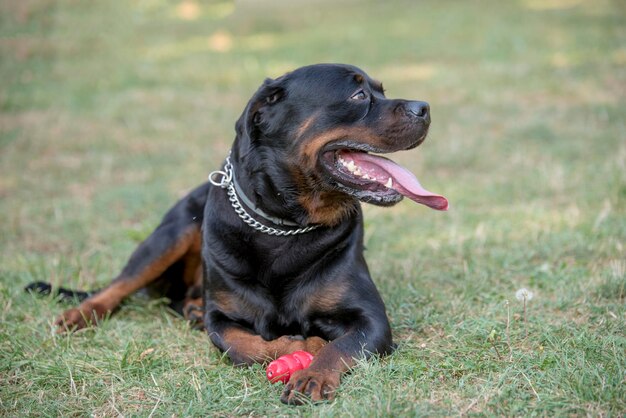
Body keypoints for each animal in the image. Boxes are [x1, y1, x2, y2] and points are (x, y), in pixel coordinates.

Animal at [28, 63, 444, 404]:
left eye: (382, 91)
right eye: (358, 96)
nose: (424, 107)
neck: (284, 225)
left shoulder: (371, 320)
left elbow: (341, 346)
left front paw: (312, 373)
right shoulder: (222, 320)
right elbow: (242, 344)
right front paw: (298, 343)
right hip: (172, 233)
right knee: (121, 284)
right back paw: (80, 315)